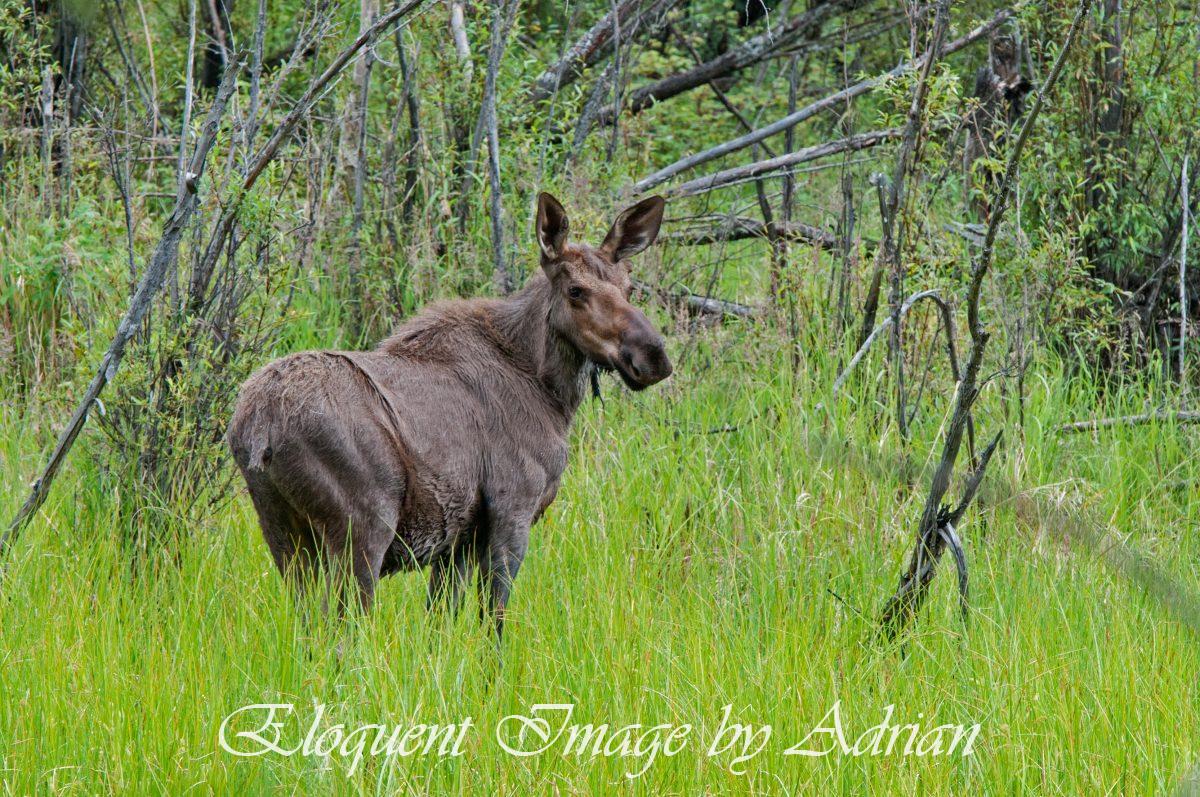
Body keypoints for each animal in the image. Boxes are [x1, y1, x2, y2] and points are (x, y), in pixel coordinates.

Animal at [227, 193, 671, 642]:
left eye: (629, 286)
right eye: (576, 290)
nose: (653, 356)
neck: (551, 394)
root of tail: (257, 429)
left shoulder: (458, 538)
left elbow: (441, 622)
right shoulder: (513, 507)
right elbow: (494, 619)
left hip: (282, 531)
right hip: (362, 526)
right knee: (344, 632)